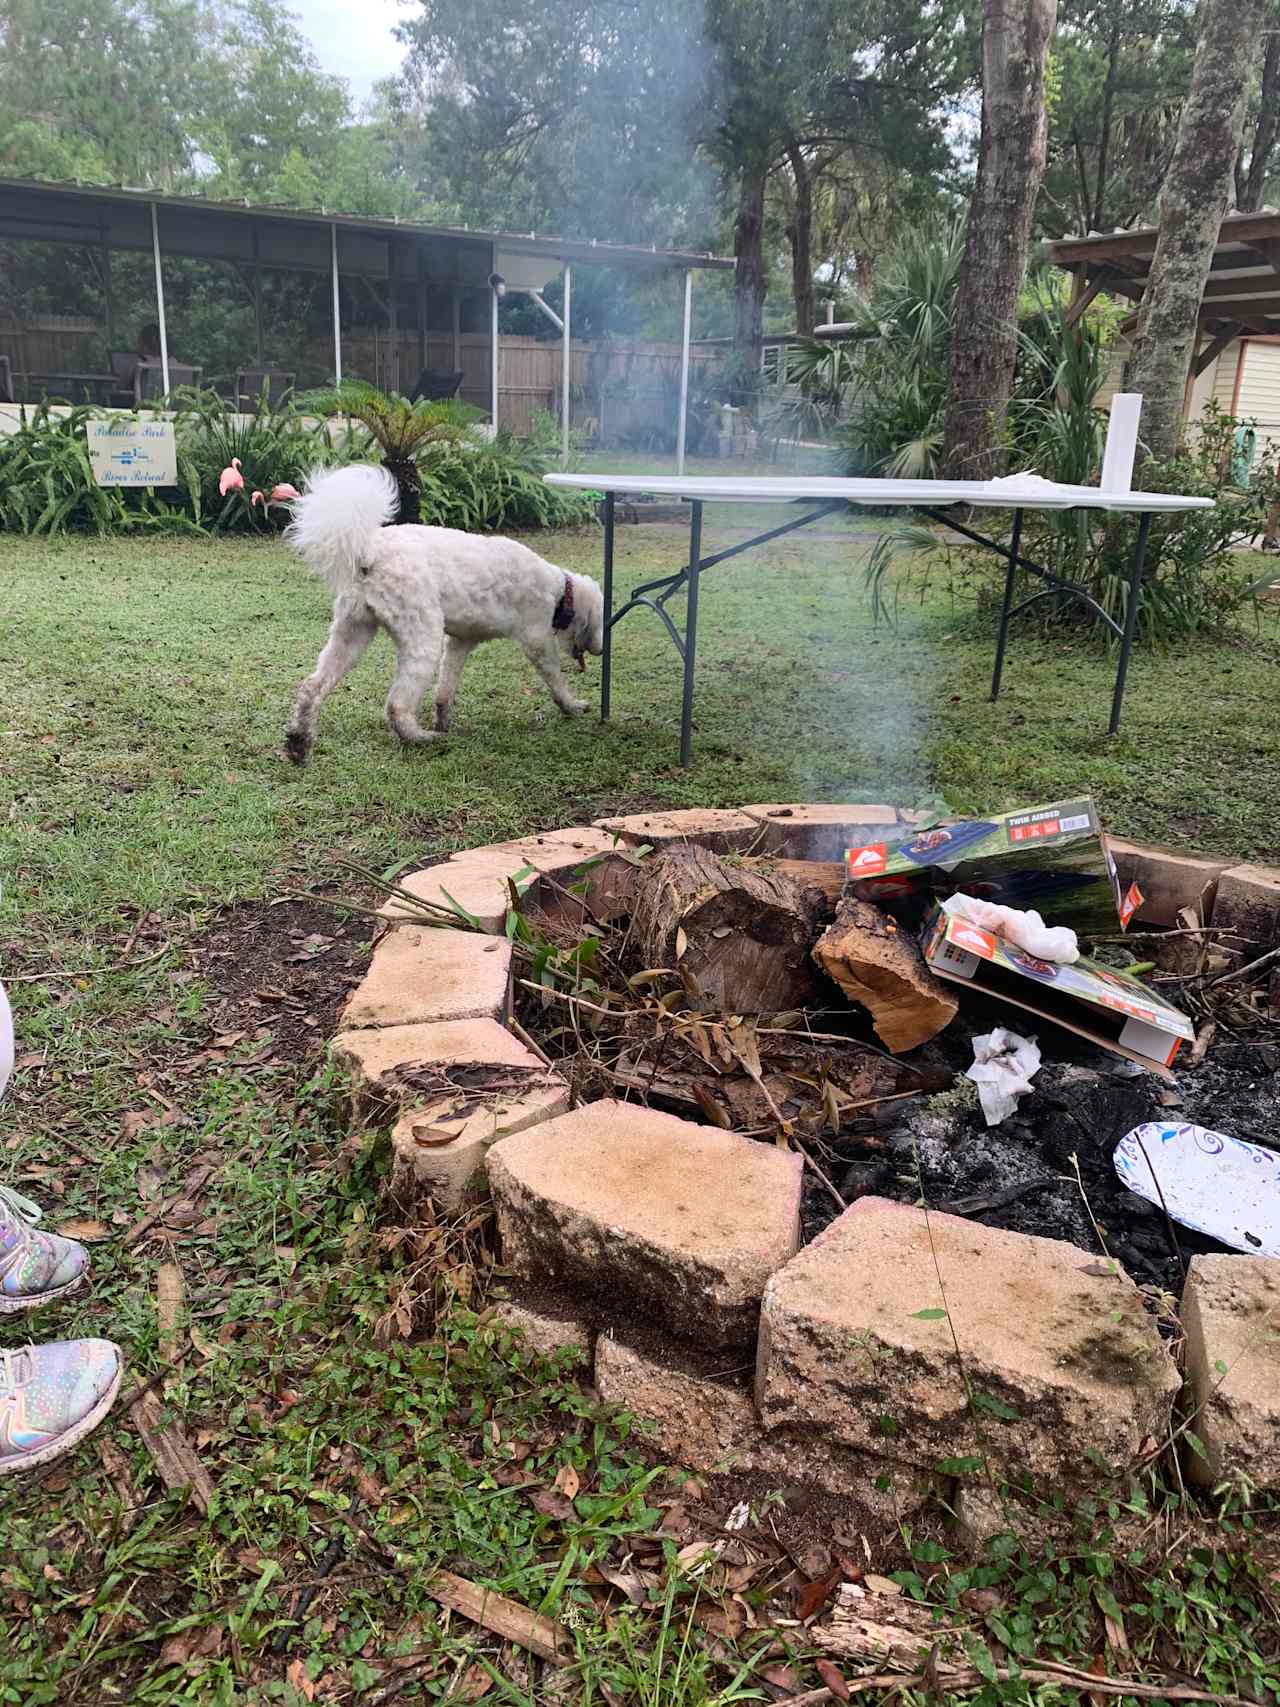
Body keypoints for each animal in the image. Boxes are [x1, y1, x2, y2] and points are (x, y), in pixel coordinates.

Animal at [283, 464, 604, 764]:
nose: (600, 650)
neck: (559, 590)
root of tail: (368, 551)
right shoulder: (538, 641)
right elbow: (556, 680)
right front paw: (573, 706)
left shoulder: (460, 643)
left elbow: (445, 689)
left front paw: (443, 719)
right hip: (423, 640)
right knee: (397, 705)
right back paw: (420, 738)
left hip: (351, 634)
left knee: (311, 687)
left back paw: (299, 742)